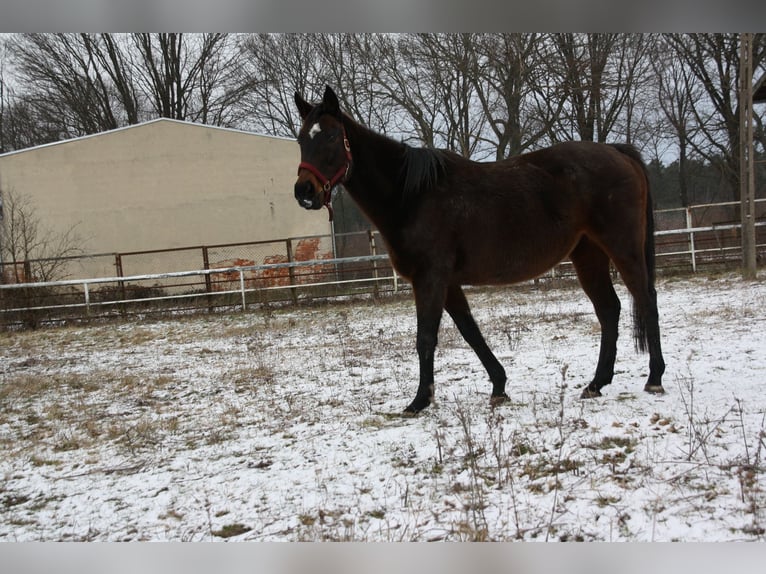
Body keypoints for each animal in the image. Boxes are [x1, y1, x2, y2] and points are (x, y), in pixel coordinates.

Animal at [294, 86, 664, 414]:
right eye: (301, 139)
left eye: (331, 136)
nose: (304, 191)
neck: (412, 196)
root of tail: (616, 151)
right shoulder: (447, 282)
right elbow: (470, 331)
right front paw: (499, 386)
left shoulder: (430, 278)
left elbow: (425, 337)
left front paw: (419, 401)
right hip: (588, 254)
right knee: (609, 309)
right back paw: (596, 384)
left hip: (623, 247)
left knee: (645, 299)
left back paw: (654, 378)